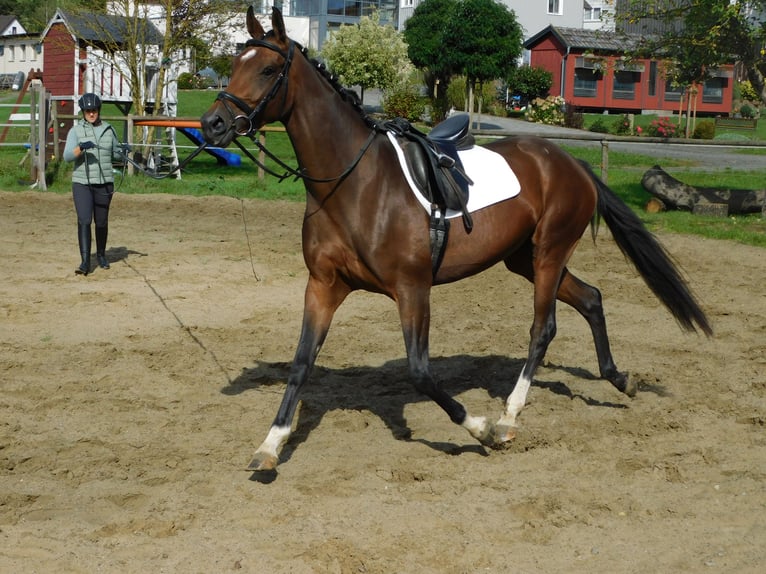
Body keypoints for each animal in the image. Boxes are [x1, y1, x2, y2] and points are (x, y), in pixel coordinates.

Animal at [202, 9, 712, 474]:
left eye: (268, 70)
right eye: (234, 64)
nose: (212, 124)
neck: (354, 184)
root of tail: (572, 163)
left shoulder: (413, 290)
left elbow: (420, 372)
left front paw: (482, 430)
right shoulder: (324, 286)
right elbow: (302, 361)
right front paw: (272, 443)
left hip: (548, 255)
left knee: (543, 328)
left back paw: (509, 415)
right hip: (523, 259)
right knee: (591, 298)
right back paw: (619, 380)